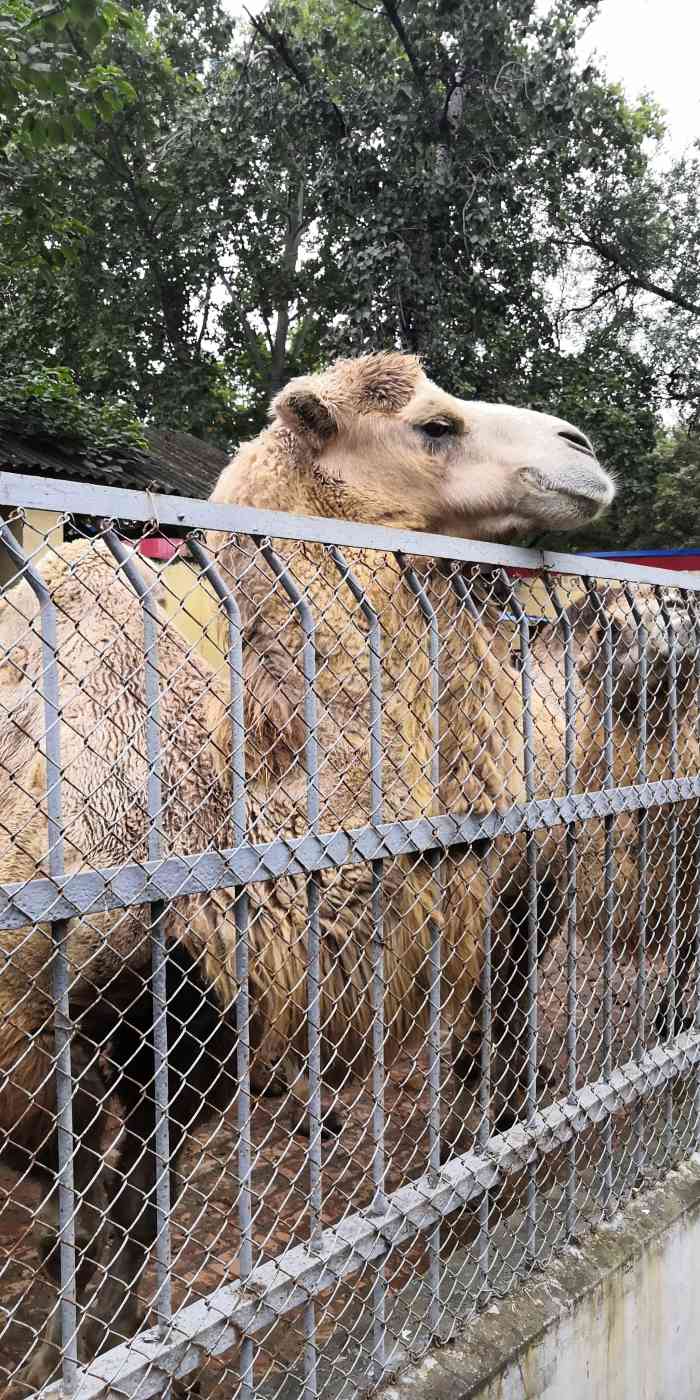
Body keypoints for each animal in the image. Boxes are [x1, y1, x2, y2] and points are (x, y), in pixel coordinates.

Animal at [0, 352, 613, 1388]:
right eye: (433, 425)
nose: (584, 450)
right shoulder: (106, 1005)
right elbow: (104, 1212)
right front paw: (92, 1353)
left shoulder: (193, 1014)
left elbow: (125, 1211)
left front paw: (133, 1345)